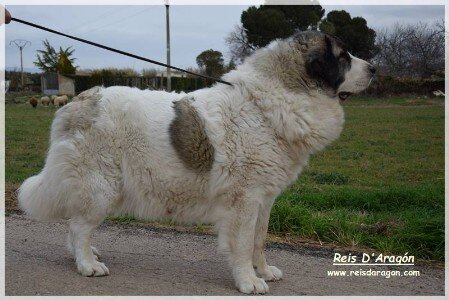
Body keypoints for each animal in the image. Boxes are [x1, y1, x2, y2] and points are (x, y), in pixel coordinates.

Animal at [18, 31, 374, 294]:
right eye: (343, 57)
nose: (373, 68)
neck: (268, 103)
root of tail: (80, 100)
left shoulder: (264, 198)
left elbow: (259, 240)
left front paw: (263, 270)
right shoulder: (244, 200)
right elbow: (242, 244)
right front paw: (248, 281)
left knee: (77, 224)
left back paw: (87, 254)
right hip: (101, 187)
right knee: (78, 226)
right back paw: (87, 264)